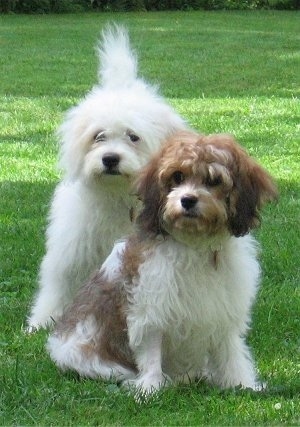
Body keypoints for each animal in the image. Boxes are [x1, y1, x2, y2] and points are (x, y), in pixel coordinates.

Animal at [28, 24, 188, 332]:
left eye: (133, 137)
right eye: (98, 136)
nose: (110, 159)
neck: (117, 195)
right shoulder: (73, 246)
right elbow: (59, 283)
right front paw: (42, 321)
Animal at [48, 132, 278, 396]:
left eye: (213, 180)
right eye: (177, 176)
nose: (187, 200)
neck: (194, 245)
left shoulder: (223, 309)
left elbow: (230, 351)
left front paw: (241, 384)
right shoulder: (151, 307)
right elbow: (151, 349)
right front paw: (150, 386)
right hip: (88, 357)